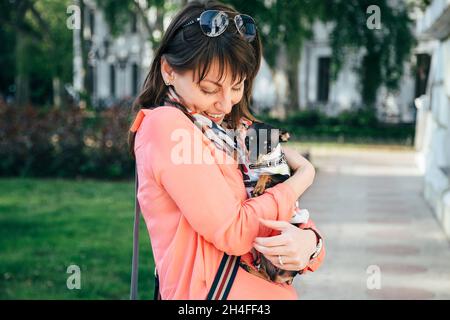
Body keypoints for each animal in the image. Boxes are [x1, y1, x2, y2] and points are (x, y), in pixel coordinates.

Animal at [239, 121, 310, 284]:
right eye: (247, 141)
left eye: (268, 146)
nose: (252, 160)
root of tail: (288, 276)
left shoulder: (284, 178)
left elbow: (267, 174)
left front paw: (259, 187)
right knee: (265, 274)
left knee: (268, 277)